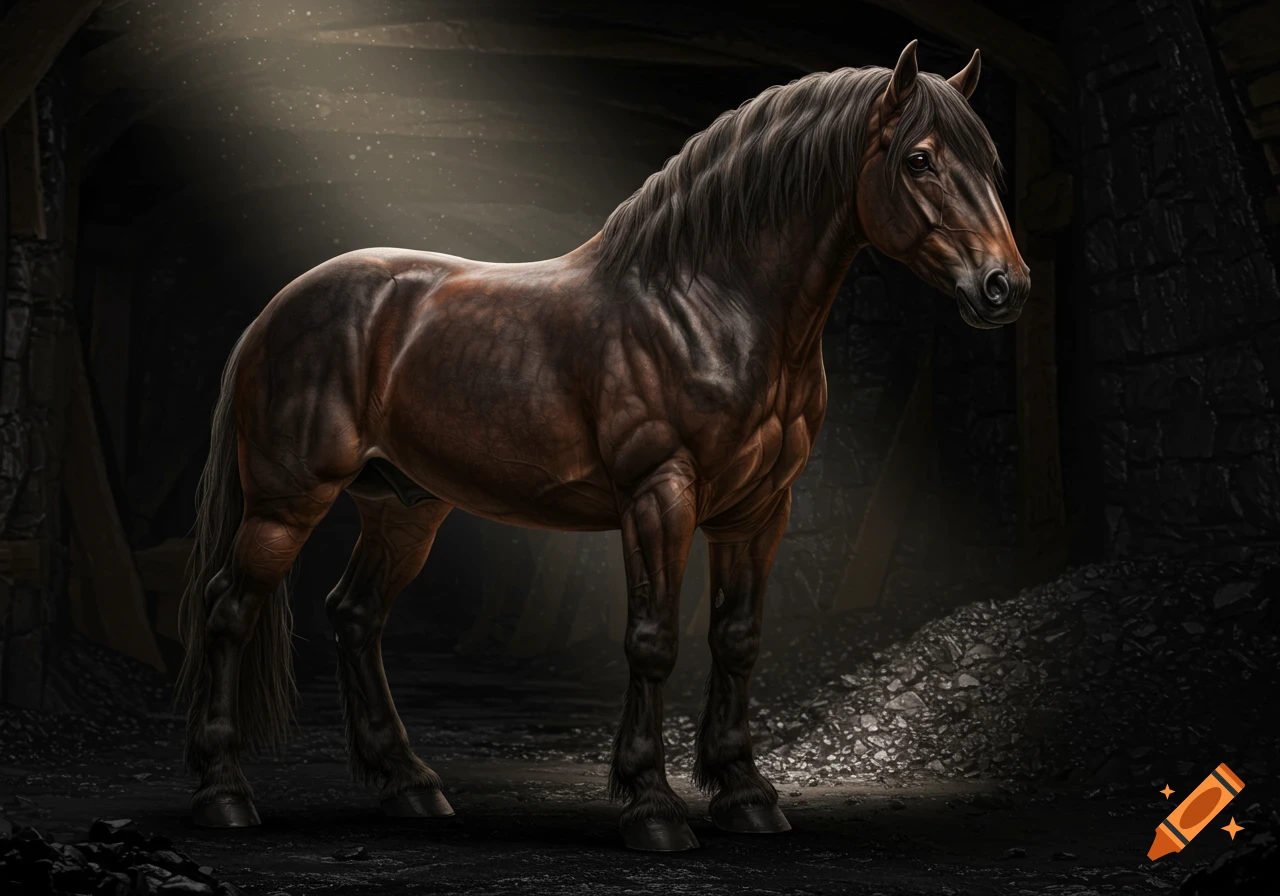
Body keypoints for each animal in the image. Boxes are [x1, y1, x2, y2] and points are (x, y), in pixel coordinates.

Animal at [177, 40, 1029, 851]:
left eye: (991, 162)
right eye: (919, 158)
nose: (1005, 287)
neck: (705, 303)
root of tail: (278, 311)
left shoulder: (758, 511)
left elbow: (738, 639)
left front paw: (746, 796)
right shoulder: (659, 496)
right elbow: (653, 641)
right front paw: (652, 807)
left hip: (405, 507)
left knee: (355, 615)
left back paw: (410, 785)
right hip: (287, 503)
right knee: (229, 608)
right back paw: (225, 794)